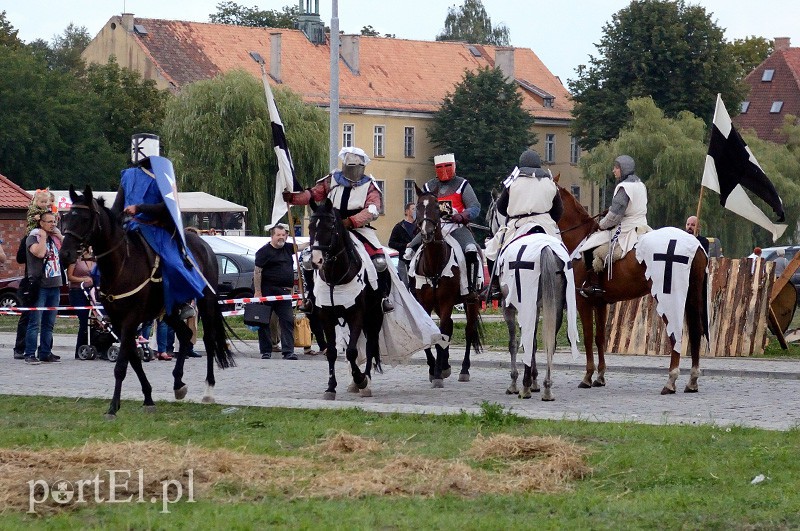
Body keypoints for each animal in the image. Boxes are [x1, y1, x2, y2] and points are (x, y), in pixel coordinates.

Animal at [412, 186, 482, 386]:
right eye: (418, 207)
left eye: (437, 207)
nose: (426, 234)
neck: (434, 263)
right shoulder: (425, 303)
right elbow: (431, 334)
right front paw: (433, 368)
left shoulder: (446, 302)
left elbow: (442, 331)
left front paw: (436, 374)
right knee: (450, 327)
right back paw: (445, 365)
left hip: (471, 301)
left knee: (468, 330)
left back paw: (463, 370)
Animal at [556, 185, 708, 392]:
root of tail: (695, 245)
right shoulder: (600, 303)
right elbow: (599, 338)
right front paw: (600, 377)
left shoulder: (583, 301)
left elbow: (587, 338)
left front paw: (587, 377)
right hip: (691, 295)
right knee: (695, 332)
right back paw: (692, 381)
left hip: (669, 297)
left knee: (675, 334)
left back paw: (671, 380)